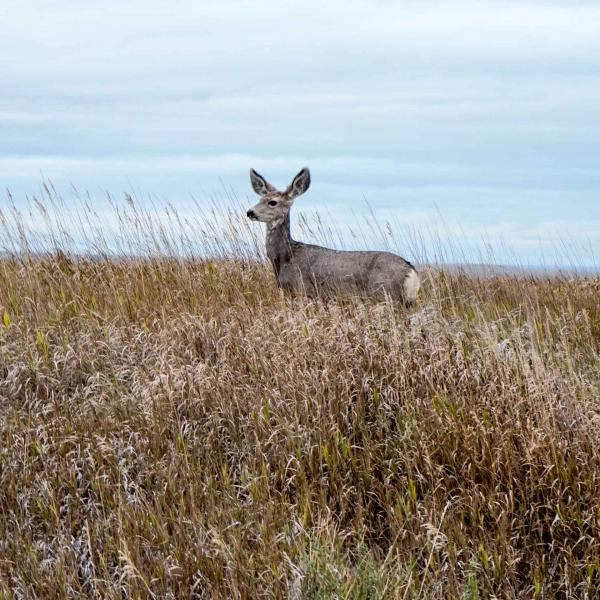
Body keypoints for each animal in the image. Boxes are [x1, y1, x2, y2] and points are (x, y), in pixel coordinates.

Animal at [246, 166, 420, 302]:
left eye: (272, 202)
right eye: (260, 199)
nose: (250, 212)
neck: (286, 257)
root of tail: (412, 273)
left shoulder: (303, 291)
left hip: (384, 293)